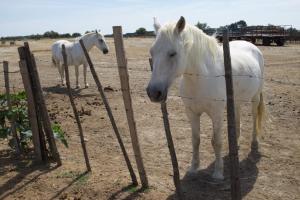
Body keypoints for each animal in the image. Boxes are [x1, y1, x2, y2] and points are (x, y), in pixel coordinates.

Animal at [148, 16, 264, 180]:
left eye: (172, 53)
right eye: (152, 52)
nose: (153, 92)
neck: (201, 78)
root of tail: (252, 46)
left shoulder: (216, 114)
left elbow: (217, 142)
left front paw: (218, 173)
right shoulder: (191, 113)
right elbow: (195, 140)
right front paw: (193, 168)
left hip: (255, 97)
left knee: (254, 117)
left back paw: (254, 143)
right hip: (236, 100)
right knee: (237, 116)